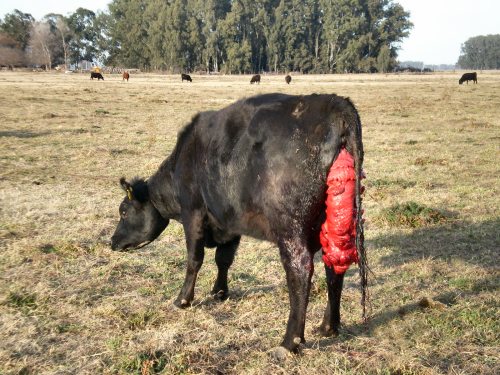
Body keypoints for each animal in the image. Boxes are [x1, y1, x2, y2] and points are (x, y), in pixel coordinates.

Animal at [110, 92, 368, 356]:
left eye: (123, 211)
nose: (112, 241)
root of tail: (335, 103)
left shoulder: (193, 213)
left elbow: (194, 259)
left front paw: (183, 299)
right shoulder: (229, 221)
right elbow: (223, 259)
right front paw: (219, 292)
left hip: (290, 227)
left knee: (301, 271)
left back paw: (289, 342)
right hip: (335, 224)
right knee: (334, 265)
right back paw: (329, 326)